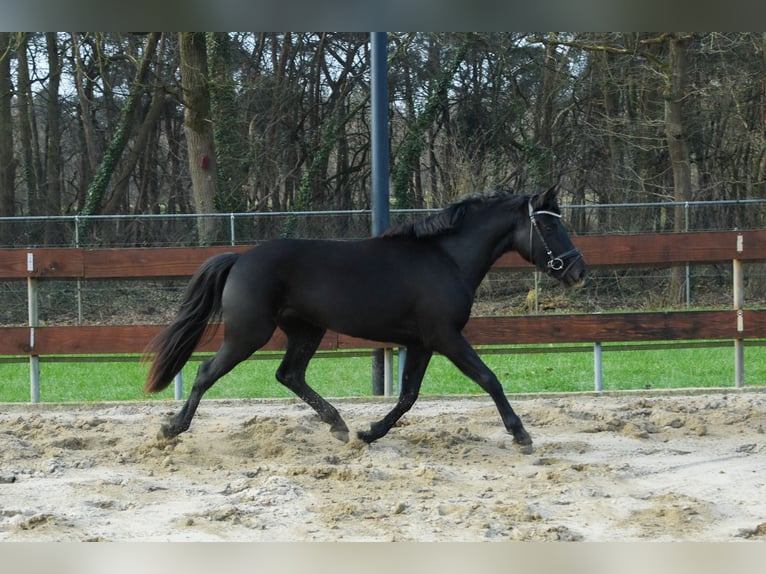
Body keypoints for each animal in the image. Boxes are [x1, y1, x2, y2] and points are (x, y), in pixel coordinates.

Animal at [144, 186, 586, 446]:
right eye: (549, 228)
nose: (578, 271)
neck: (446, 259)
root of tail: (240, 258)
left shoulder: (421, 343)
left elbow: (408, 396)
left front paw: (369, 432)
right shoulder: (445, 337)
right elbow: (488, 378)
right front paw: (520, 433)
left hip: (306, 331)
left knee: (289, 374)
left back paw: (338, 425)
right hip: (248, 334)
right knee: (206, 372)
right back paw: (171, 429)